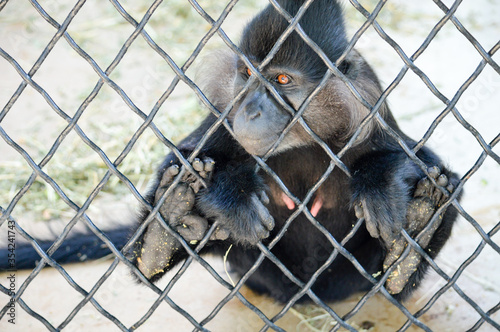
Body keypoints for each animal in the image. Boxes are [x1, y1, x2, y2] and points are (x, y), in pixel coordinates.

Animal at [0, 0, 460, 304]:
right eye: (248, 75)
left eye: (281, 79)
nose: (251, 109)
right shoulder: (224, 111)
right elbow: (185, 158)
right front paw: (232, 195)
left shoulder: (369, 103)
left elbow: (421, 161)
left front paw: (379, 182)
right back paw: (163, 234)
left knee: (445, 188)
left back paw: (409, 253)